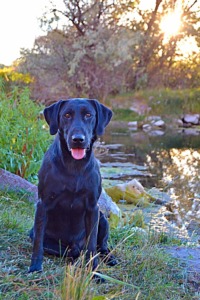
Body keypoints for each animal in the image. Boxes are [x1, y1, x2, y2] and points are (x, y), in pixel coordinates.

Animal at [28, 98, 116, 272]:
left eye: (88, 115)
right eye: (67, 115)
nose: (78, 139)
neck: (74, 166)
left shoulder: (93, 208)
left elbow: (91, 245)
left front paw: (93, 270)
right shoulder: (43, 204)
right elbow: (38, 242)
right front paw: (35, 266)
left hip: (103, 218)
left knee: (101, 247)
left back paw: (108, 258)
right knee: (68, 250)